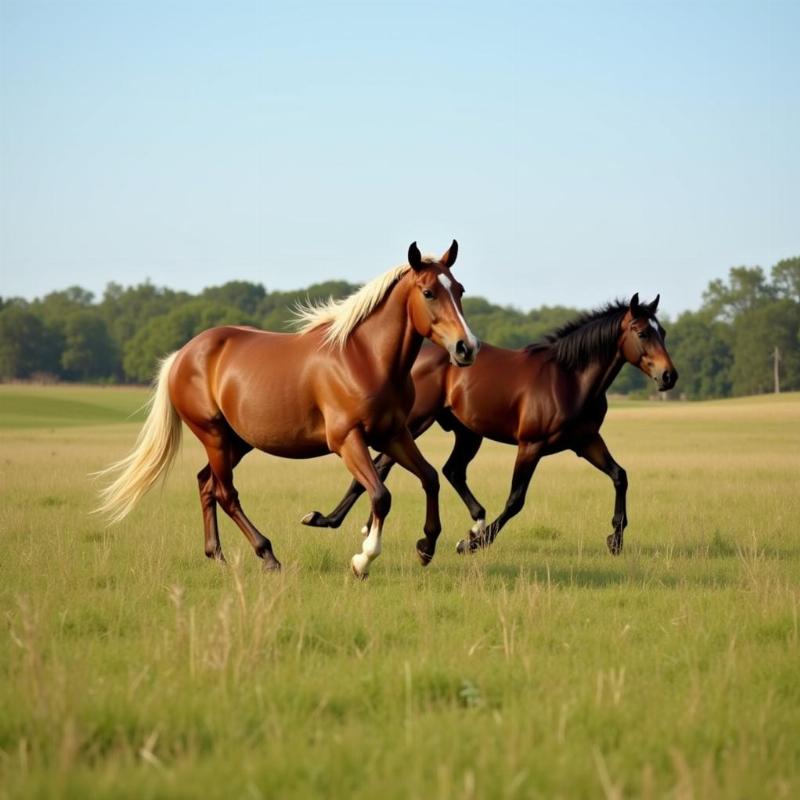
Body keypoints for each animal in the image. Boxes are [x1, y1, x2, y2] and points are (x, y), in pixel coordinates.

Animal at [96, 241, 478, 580]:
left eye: (459, 289)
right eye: (428, 292)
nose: (467, 348)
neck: (364, 358)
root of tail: (182, 355)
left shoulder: (393, 434)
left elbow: (429, 477)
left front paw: (426, 546)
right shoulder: (347, 441)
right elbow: (381, 496)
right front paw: (363, 561)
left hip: (238, 441)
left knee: (206, 484)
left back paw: (217, 555)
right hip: (214, 435)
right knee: (225, 493)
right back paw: (267, 556)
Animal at [304, 294, 680, 556]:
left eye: (663, 331)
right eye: (643, 332)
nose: (669, 376)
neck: (570, 379)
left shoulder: (585, 441)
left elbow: (620, 476)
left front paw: (615, 539)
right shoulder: (532, 445)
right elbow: (516, 500)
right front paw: (473, 544)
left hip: (466, 433)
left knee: (449, 470)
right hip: (414, 423)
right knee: (383, 466)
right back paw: (334, 521)